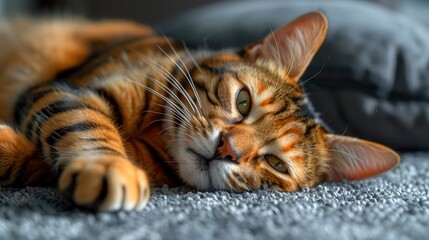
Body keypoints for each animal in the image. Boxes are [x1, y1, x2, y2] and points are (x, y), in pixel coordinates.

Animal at [0, 12, 398, 211]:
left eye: (276, 164)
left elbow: (32, 158)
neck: (156, 133)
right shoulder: (68, 90)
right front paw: (108, 165)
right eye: (243, 101)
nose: (227, 149)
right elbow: (86, 124)